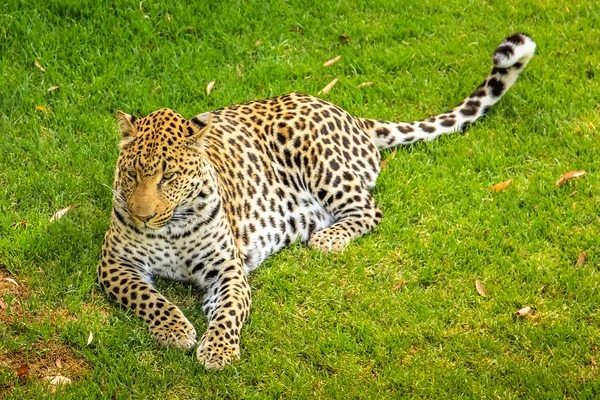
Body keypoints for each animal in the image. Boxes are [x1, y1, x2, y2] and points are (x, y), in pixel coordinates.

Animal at [97, 33, 536, 368]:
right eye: (132, 174)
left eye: (168, 177)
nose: (142, 216)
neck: (172, 227)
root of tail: (351, 115)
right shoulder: (115, 265)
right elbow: (150, 297)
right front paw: (176, 329)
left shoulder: (227, 270)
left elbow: (229, 312)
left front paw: (217, 351)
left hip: (313, 153)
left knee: (369, 208)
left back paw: (328, 239)